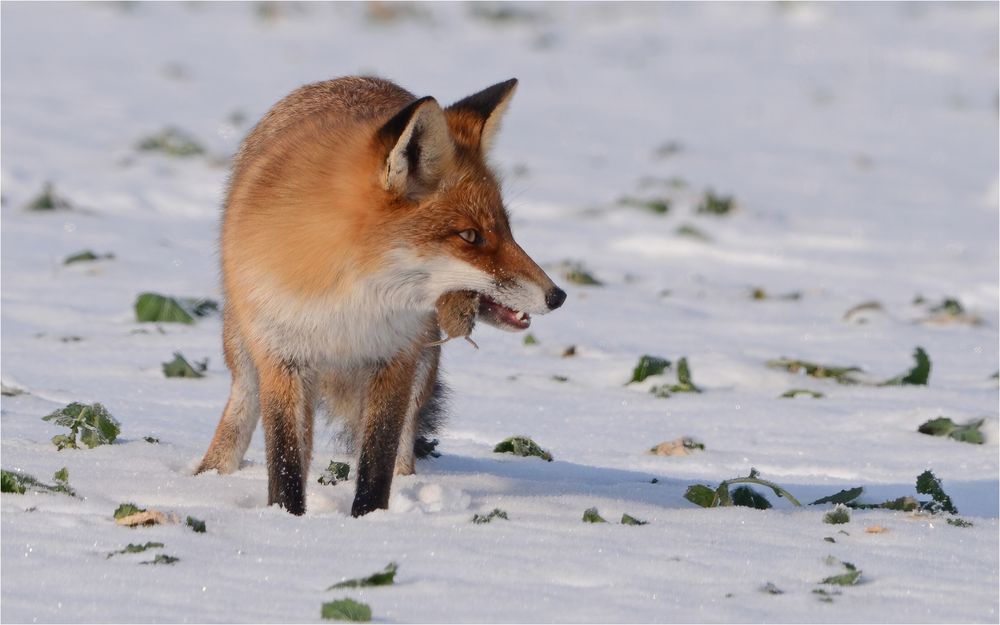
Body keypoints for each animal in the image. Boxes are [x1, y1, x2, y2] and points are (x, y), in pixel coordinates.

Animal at [197, 77, 564, 516]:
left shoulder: (395, 358)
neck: (347, 303)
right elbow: (285, 464)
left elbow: (377, 460)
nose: (557, 295)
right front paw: (288, 518)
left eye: (508, 230)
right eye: (471, 236)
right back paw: (210, 476)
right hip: (243, 345)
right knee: (243, 407)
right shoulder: (282, 355)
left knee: (403, 448)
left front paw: (370, 520)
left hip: (424, 361)